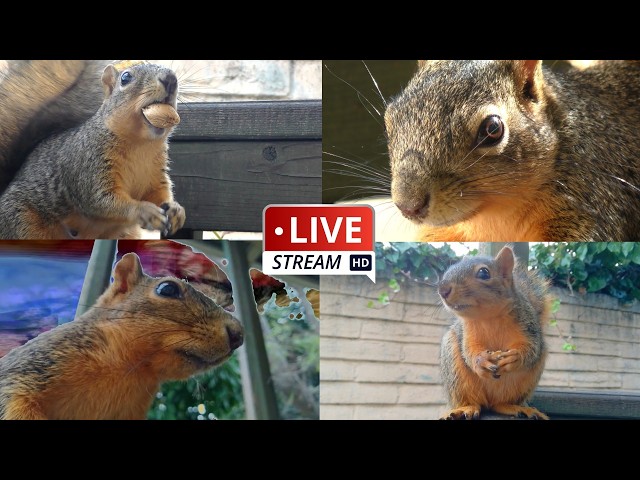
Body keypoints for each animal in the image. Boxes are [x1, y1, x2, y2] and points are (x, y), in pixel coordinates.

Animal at [0, 60, 185, 239]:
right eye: (125, 78)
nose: (170, 79)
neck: (141, 145)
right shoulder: (89, 165)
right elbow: (101, 199)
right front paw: (144, 211)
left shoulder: (156, 176)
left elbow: (158, 194)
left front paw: (175, 210)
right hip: (22, 220)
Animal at [437, 245, 549, 420]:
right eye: (448, 270)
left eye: (484, 273)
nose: (443, 289)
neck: (489, 317)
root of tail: (489, 400)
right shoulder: (468, 333)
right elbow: (469, 351)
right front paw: (481, 360)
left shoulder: (528, 326)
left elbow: (532, 349)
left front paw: (515, 357)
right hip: (456, 374)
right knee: (473, 401)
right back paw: (465, 409)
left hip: (524, 384)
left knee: (500, 404)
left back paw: (516, 408)